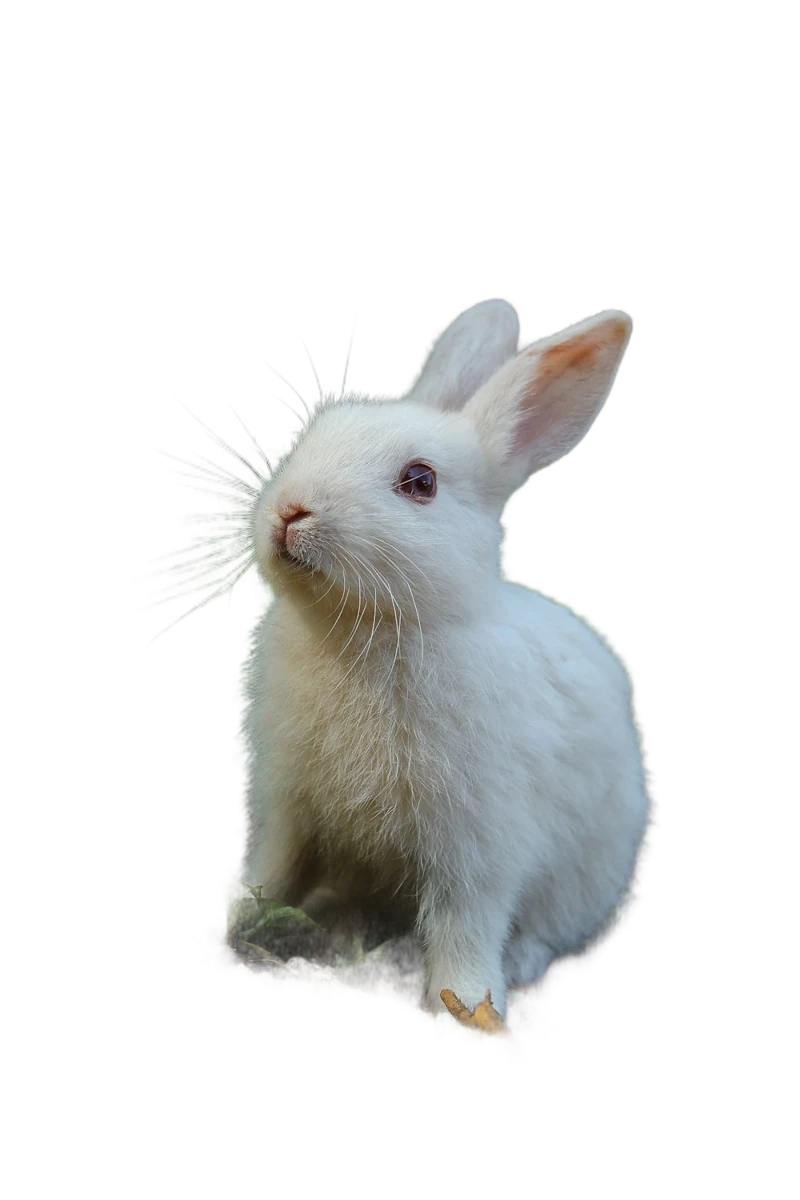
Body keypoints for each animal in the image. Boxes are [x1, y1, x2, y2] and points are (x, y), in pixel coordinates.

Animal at [234, 300, 653, 1017]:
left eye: (420, 482)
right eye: (316, 435)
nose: (291, 511)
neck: (366, 631)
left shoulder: (475, 845)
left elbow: (465, 923)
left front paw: (468, 1005)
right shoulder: (290, 810)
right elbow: (273, 873)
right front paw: (227, 925)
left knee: (546, 928)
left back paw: (520, 967)